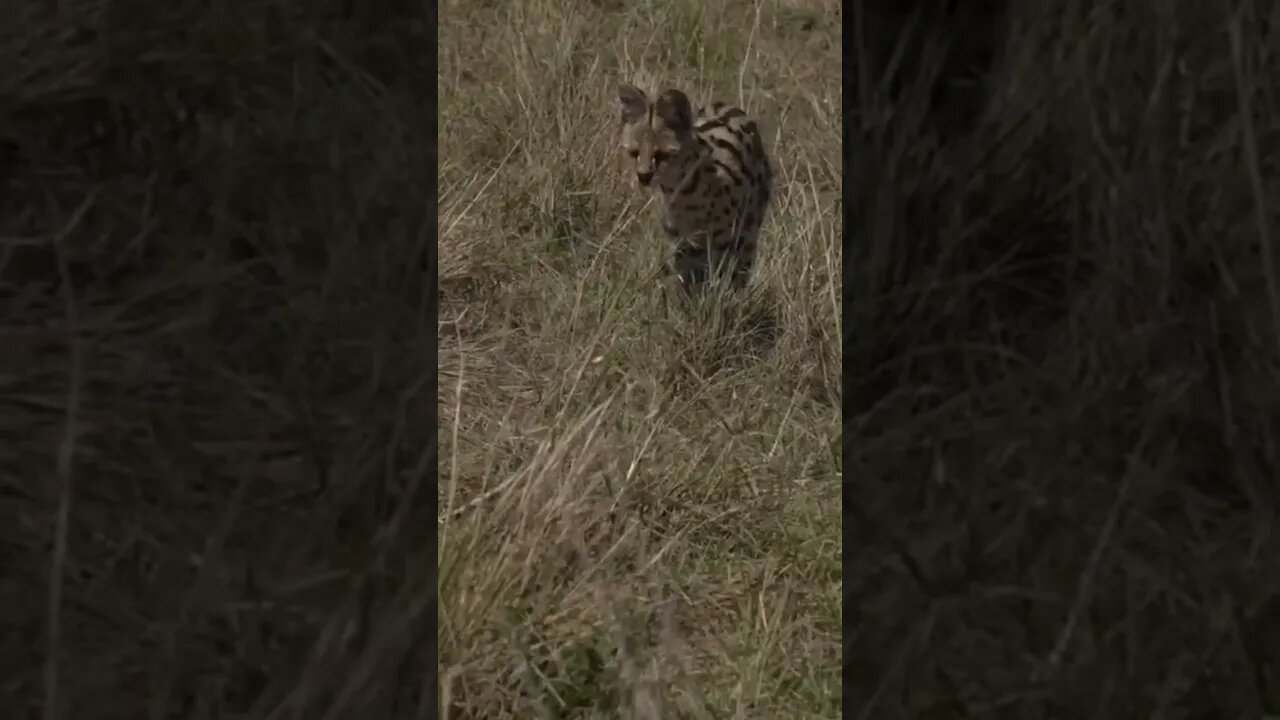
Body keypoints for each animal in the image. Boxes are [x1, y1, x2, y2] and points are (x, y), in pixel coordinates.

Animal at [616, 80, 768, 288]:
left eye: (661, 155)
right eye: (634, 153)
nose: (643, 175)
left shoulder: (724, 241)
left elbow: (722, 277)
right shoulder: (683, 244)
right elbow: (686, 278)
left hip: (748, 230)